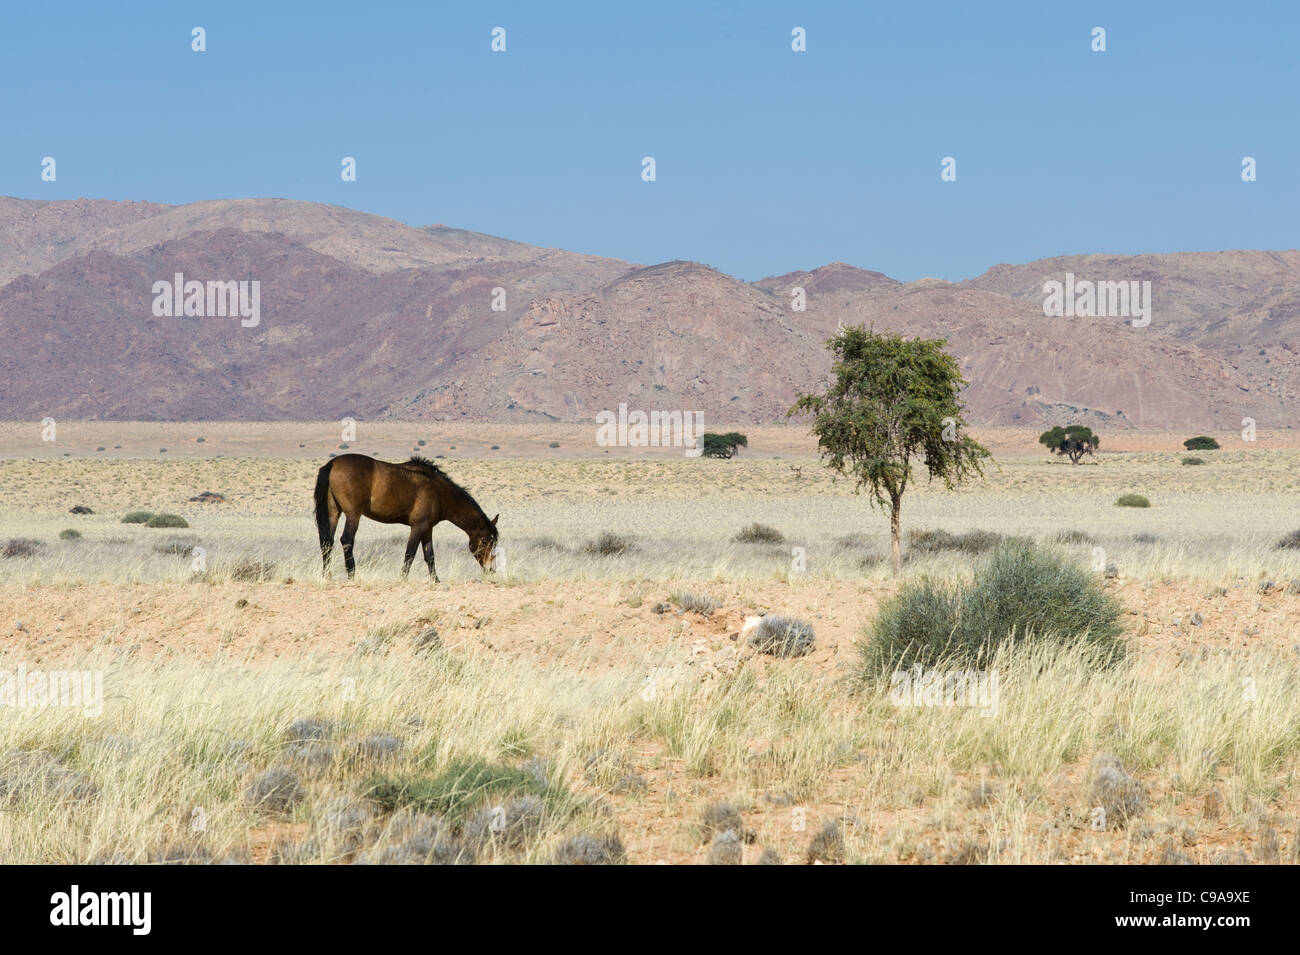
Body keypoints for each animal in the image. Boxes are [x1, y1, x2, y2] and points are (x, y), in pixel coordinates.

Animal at [314, 454, 498, 580]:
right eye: (484, 541)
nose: (491, 569)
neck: (439, 492)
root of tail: (332, 464)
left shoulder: (427, 529)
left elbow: (430, 556)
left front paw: (436, 580)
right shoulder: (418, 527)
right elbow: (410, 553)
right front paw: (403, 578)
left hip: (333, 513)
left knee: (326, 542)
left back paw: (327, 576)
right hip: (353, 515)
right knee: (346, 540)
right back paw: (352, 575)